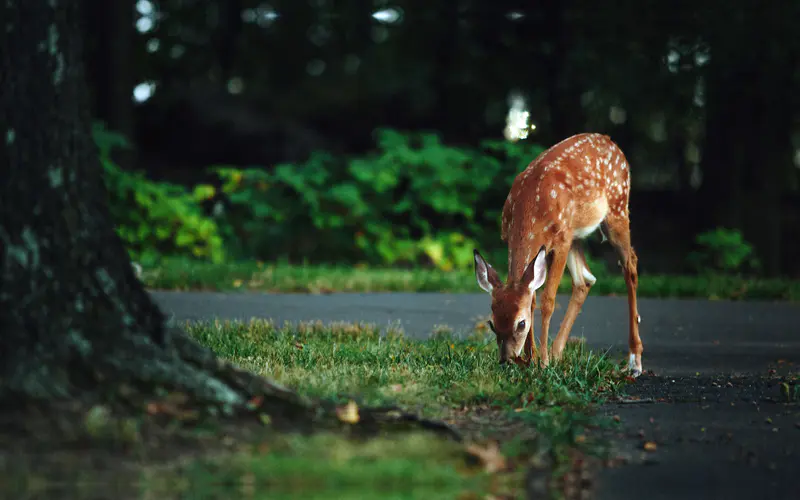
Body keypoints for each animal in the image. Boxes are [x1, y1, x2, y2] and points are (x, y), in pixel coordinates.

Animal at [476, 132, 644, 376]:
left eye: (521, 324)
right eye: (492, 323)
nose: (506, 360)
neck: (531, 207)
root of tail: (610, 141)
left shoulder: (561, 241)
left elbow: (547, 301)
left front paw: (542, 362)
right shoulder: (516, 238)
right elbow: (531, 298)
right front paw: (532, 359)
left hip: (617, 208)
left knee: (630, 265)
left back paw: (634, 360)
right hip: (577, 234)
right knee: (585, 280)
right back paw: (557, 352)